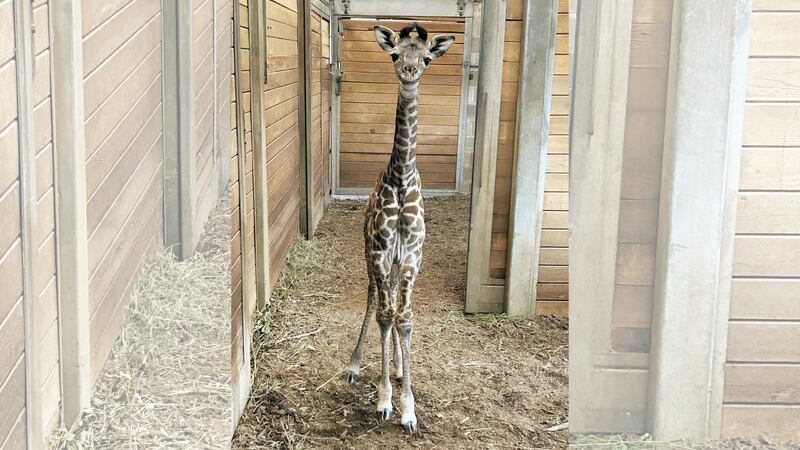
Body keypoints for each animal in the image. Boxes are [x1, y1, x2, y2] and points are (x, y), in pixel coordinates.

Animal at [344, 23, 455, 435]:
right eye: (394, 54)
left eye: (425, 58)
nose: (408, 72)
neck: (402, 176)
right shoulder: (380, 249)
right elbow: (384, 314)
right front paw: (384, 401)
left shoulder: (411, 255)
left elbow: (404, 318)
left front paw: (408, 408)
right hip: (369, 253)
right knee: (375, 298)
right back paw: (357, 365)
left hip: (393, 263)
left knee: (392, 303)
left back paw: (395, 365)